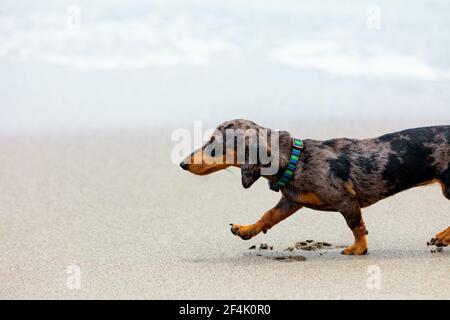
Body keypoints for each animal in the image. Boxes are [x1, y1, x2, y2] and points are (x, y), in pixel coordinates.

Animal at [180, 119, 450, 255]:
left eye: (214, 144)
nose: (182, 163)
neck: (296, 159)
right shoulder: (291, 200)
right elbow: (268, 216)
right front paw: (246, 230)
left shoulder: (346, 201)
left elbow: (356, 227)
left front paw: (358, 249)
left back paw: (443, 237)